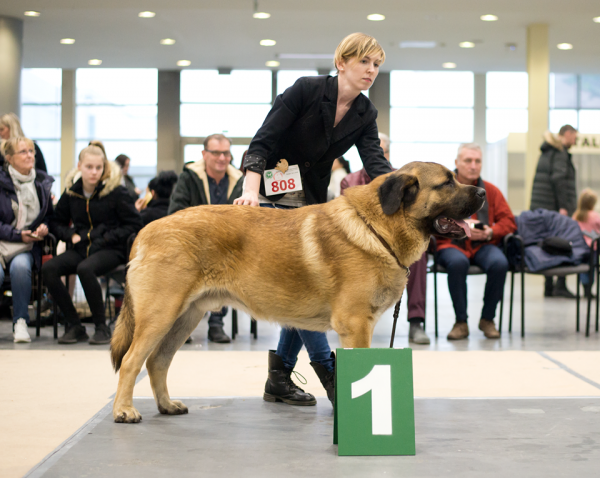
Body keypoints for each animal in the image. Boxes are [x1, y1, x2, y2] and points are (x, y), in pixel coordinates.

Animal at [110, 161, 486, 422]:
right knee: (131, 361)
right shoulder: (355, 325)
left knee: (157, 361)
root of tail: (146, 230)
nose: (482, 193)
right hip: (160, 314)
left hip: (185, 316)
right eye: (447, 182)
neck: (376, 226)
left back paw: (166, 404)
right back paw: (124, 410)